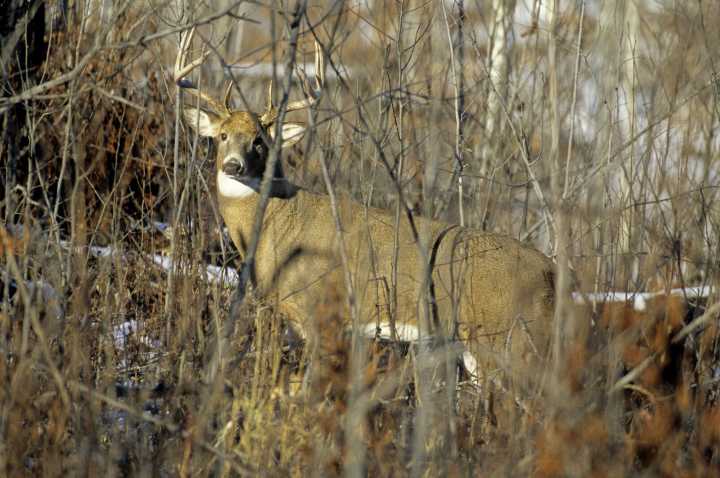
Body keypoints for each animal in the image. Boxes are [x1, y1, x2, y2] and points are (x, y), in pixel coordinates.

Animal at [175, 29, 555, 381]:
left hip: (510, 338)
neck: (276, 225)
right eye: (223, 136)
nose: (233, 165)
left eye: (259, 142)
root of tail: (551, 271)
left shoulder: (319, 311)